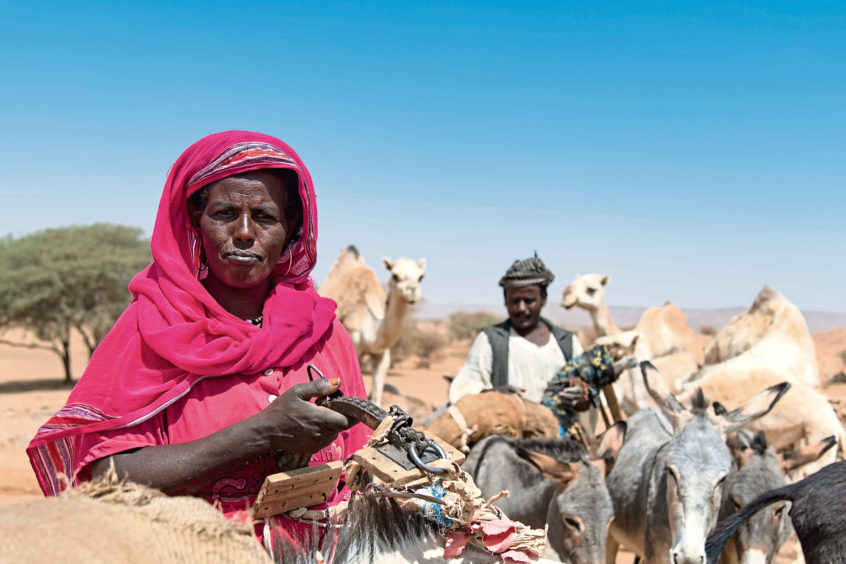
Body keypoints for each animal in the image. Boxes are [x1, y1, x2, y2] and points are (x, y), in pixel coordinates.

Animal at [318, 245, 428, 408]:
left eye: (421, 276)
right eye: (395, 275)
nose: (412, 291)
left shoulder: (382, 356)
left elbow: (376, 399)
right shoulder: (355, 347)